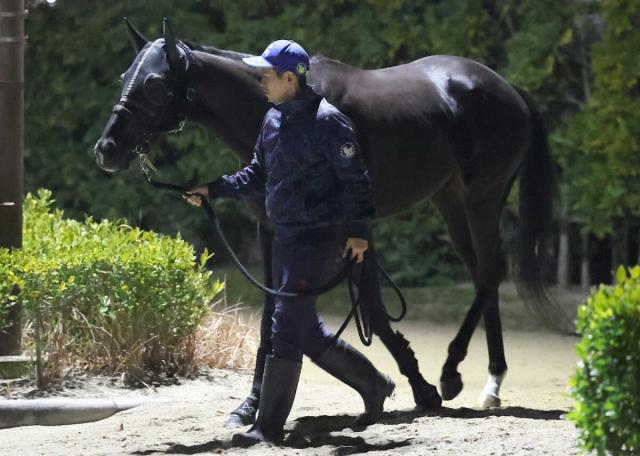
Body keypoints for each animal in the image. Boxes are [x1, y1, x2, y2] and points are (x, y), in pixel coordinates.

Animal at [94, 19, 560, 416]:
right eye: (123, 77)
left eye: (155, 83)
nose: (106, 149)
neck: (289, 111)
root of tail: (508, 88)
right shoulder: (272, 230)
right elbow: (273, 315)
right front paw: (251, 402)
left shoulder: (354, 230)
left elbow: (373, 310)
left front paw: (421, 387)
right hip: (450, 200)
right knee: (485, 274)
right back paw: (491, 380)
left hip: (482, 196)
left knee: (490, 271)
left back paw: (453, 373)